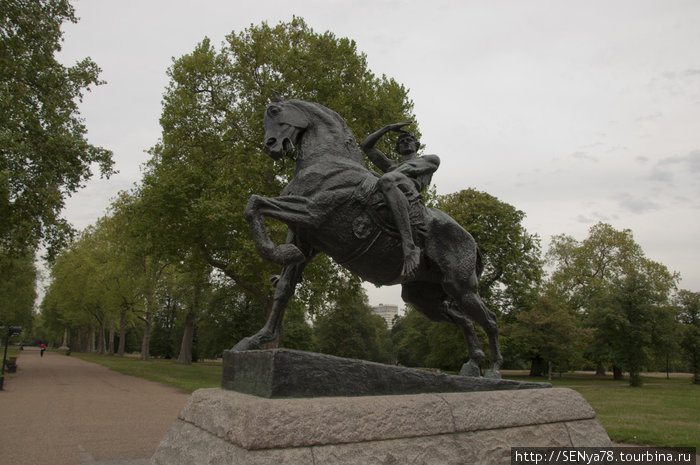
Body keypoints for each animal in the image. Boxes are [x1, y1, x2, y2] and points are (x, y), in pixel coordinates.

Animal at [235, 96, 504, 376]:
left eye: (274, 111)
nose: (270, 145)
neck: (328, 162)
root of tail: (472, 241)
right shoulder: (305, 238)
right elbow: (284, 289)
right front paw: (257, 339)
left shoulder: (312, 212)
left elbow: (254, 203)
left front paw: (276, 250)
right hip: (423, 297)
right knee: (464, 319)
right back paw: (473, 364)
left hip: (461, 287)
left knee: (490, 320)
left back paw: (493, 369)